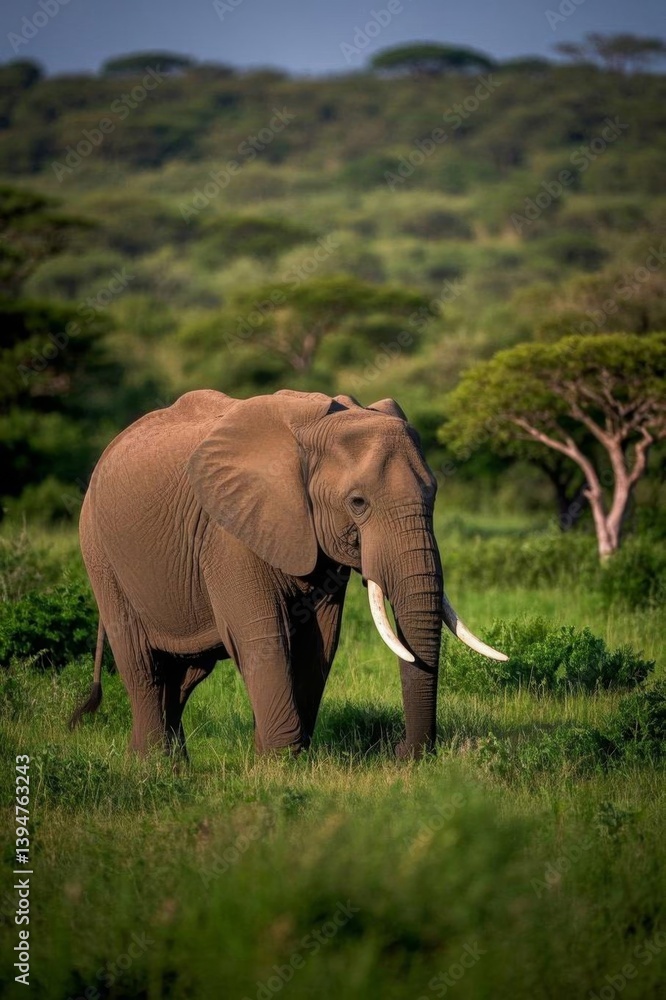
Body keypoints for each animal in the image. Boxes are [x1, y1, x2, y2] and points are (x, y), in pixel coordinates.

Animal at [70, 388, 506, 759]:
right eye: (358, 502)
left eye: (433, 493)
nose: (403, 753)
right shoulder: (226, 533)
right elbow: (261, 635)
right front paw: (278, 761)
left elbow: (320, 641)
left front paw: (285, 755)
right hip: (99, 551)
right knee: (142, 664)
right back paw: (154, 764)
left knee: (185, 674)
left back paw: (172, 764)